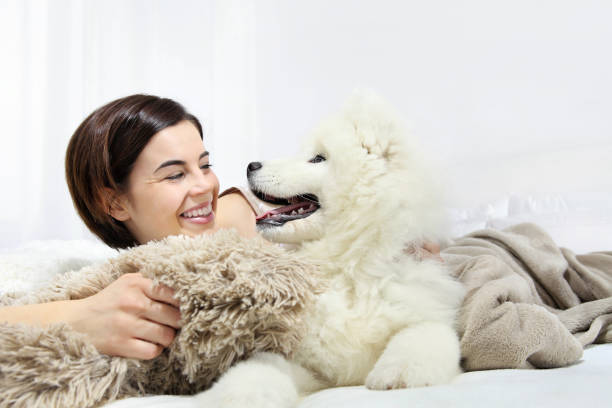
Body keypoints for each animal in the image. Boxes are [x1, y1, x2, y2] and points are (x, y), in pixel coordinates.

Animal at [196, 93, 464, 408]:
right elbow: (260, 365)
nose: (251, 165)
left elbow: (426, 332)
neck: (345, 265)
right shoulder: (302, 357)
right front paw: (247, 395)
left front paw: (399, 374)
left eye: (318, 158)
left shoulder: (423, 310)